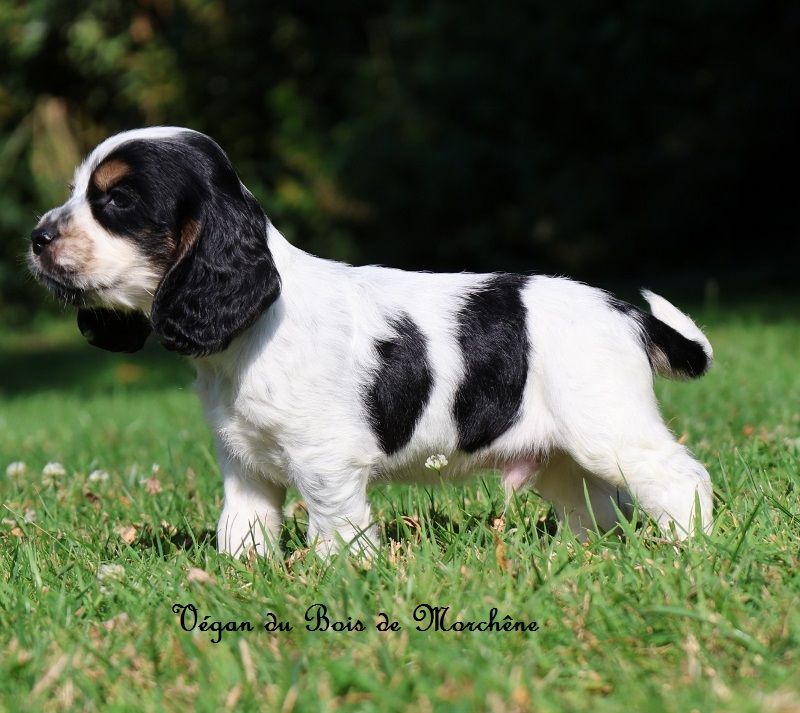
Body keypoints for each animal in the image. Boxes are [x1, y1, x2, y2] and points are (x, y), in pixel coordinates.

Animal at [26, 128, 712, 556]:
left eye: (116, 200)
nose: (36, 237)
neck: (251, 332)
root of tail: (622, 310)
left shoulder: (325, 461)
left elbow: (334, 530)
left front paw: (335, 577)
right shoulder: (244, 463)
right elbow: (243, 527)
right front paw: (241, 577)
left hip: (611, 429)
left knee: (680, 478)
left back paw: (691, 548)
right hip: (561, 456)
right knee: (594, 506)